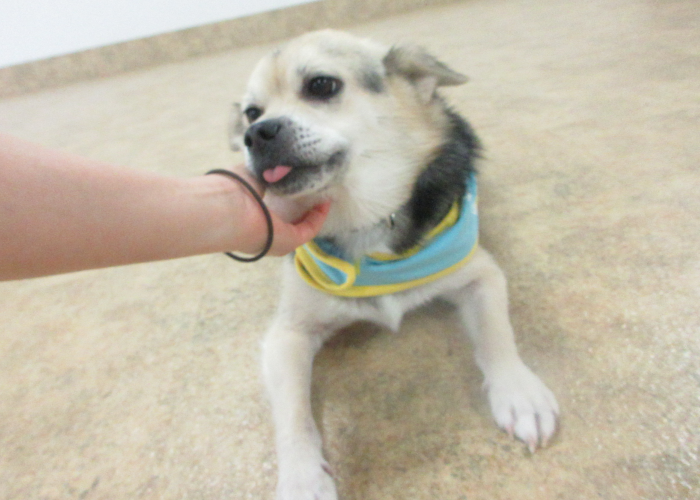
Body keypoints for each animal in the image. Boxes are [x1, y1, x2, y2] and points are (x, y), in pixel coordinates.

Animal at [229, 30, 559, 500]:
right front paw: (302, 478)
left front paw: (519, 392)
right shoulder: (287, 336)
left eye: (321, 86)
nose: (254, 135)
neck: (365, 220)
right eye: (252, 113)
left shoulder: (481, 274)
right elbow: (294, 418)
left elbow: (498, 335)